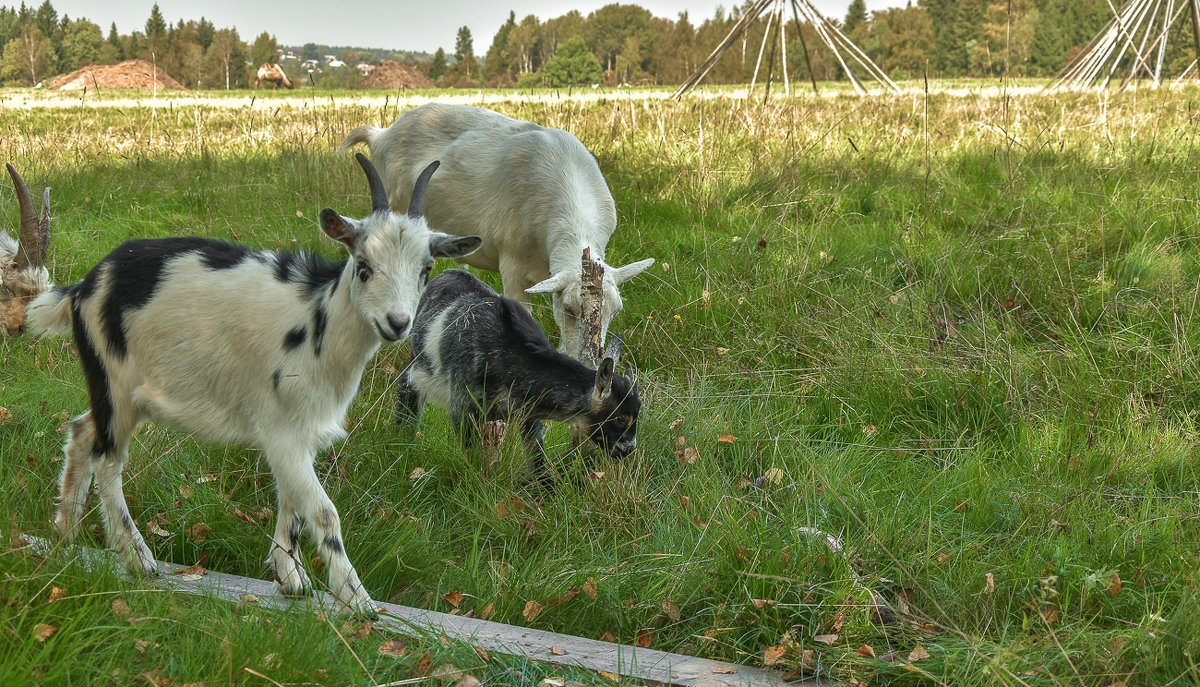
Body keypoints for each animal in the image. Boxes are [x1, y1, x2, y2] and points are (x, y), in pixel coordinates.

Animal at [29, 151, 477, 612]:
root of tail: (83, 288)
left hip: (119, 394)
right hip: (114, 380)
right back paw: (136, 556)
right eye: (364, 266)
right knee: (108, 460)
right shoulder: (281, 429)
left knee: (82, 432)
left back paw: (65, 535)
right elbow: (323, 512)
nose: (398, 322)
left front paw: (291, 578)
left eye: (426, 269)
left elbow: (292, 502)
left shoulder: (300, 431)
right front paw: (357, 600)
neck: (320, 324)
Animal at [396, 265, 643, 470]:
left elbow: (536, 456)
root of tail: (447, 272)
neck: (508, 358)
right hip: (415, 369)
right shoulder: (464, 405)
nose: (628, 451)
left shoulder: (528, 413)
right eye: (621, 418)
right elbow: (470, 453)